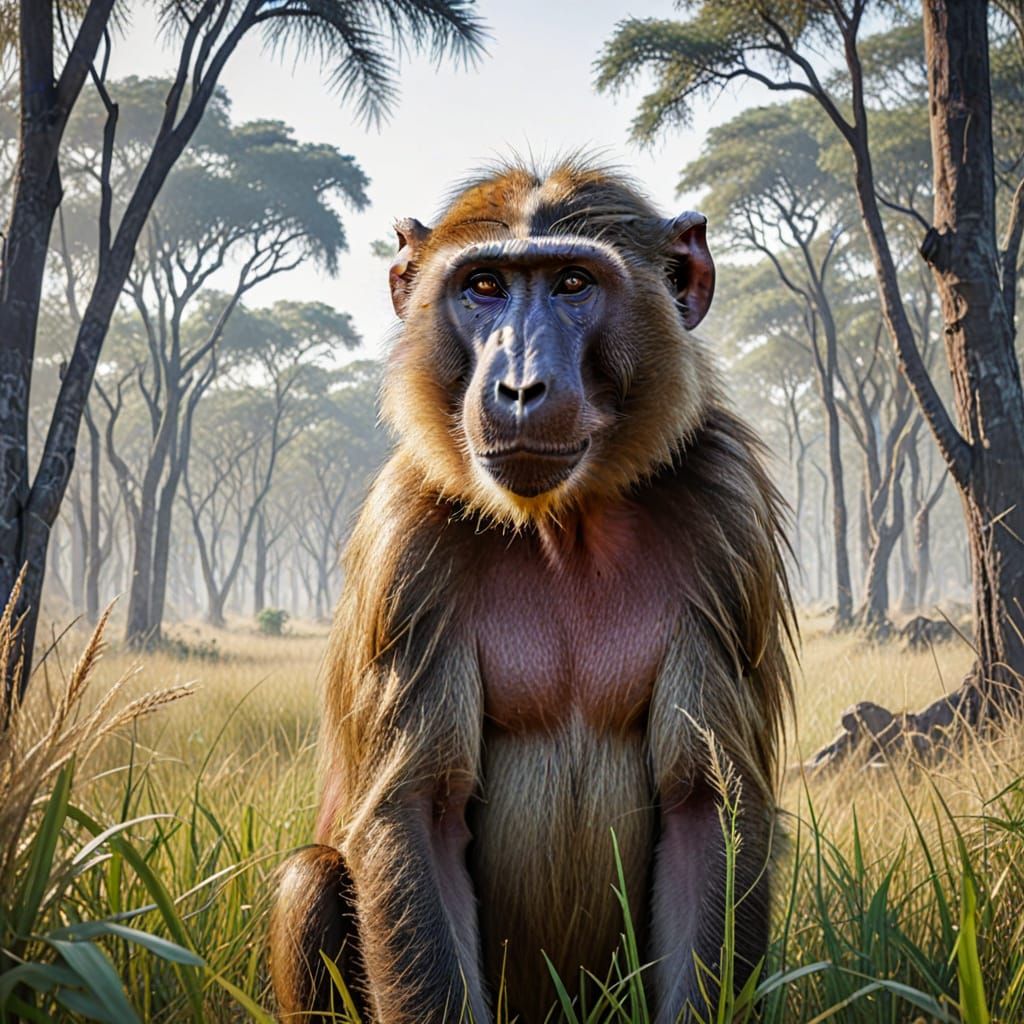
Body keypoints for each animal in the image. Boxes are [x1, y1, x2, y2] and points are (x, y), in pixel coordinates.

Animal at [269, 156, 794, 1024]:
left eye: (573, 282)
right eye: (484, 286)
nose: (519, 386)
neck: (566, 523)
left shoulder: (726, 508)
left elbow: (705, 806)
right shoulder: (407, 544)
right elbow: (418, 812)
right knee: (311, 877)